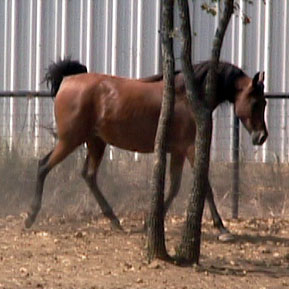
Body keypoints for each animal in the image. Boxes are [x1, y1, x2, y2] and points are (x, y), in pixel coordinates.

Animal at [24, 58, 266, 238]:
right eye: (256, 102)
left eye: (264, 102)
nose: (262, 136)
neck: (187, 97)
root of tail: (67, 80)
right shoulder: (190, 149)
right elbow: (205, 185)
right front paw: (222, 228)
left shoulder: (178, 152)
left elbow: (175, 187)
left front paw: (149, 223)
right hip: (70, 140)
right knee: (43, 166)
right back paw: (30, 216)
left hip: (95, 142)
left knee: (88, 175)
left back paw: (115, 220)